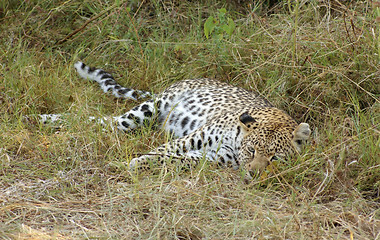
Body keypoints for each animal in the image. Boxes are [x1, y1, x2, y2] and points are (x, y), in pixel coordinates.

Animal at [38, 62, 312, 178]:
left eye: (275, 158)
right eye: (252, 150)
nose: (254, 173)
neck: (236, 142)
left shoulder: (211, 157)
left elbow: (177, 161)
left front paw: (140, 165)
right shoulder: (195, 137)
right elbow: (163, 151)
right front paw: (137, 162)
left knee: (107, 123)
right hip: (150, 108)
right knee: (107, 121)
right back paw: (47, 119)